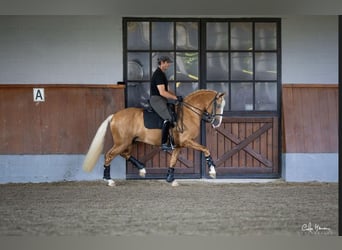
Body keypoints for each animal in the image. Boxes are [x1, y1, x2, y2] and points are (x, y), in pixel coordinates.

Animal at [83, 89, 226, 186]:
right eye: (218, 105)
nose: (217, 123)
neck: (189, 113)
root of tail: (114, 116)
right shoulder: (187, 141)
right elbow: (205, 149)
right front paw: (212, 170)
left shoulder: (179, 145)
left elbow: (173, 160)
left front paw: (170, 179)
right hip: (122, 142)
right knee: (109, 155)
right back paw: (109, 180)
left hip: (129, 142)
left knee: (125, 154)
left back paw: (141, 168)